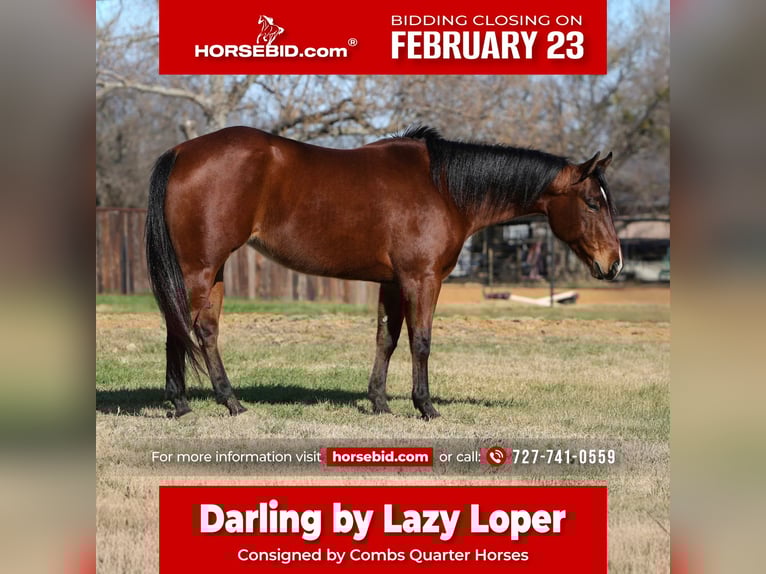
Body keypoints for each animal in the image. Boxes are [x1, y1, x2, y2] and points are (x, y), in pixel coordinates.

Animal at [145, 125, 622, 420]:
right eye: (592, 203)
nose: (613, 263)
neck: (444, 187)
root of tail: (181, 152)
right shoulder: (422, 279)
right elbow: (420, 341)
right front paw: (425, 406)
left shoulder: (393, 282)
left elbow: (385, 339)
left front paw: (379, 402)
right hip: (198, 269)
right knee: (181, 328)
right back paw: (190, 403)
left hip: (214, 271)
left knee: (203, 330)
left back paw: (221, 402)